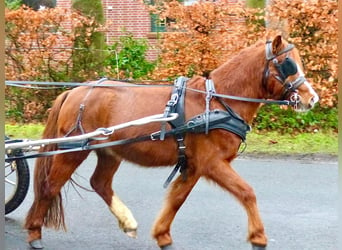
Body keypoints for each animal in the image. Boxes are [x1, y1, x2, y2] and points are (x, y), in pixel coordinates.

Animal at [25, 35, 320, 250]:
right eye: (288, 63)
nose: (312, 98)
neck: (217, 102)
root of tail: (75, 91)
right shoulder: (212, 163)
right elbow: (247, 192)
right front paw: (258, 237)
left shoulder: (194, 165)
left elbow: (177, 198)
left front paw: (162, 235)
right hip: (73, 151)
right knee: (50, 186)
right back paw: (34, 232)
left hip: (109, 151)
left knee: (100, 183)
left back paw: (127, 222)